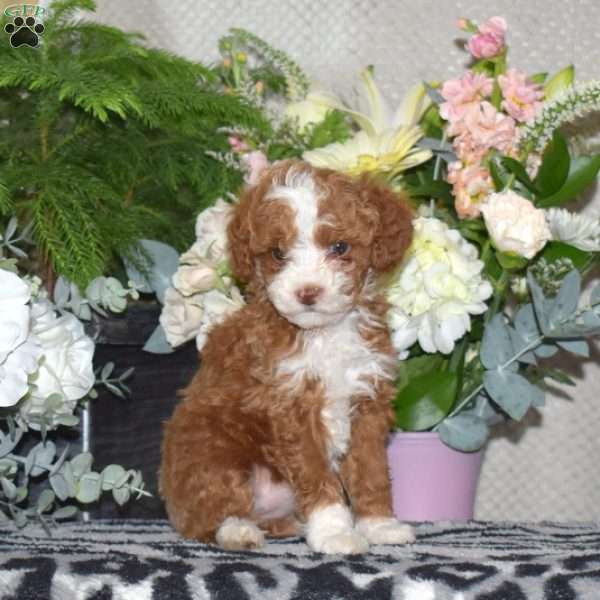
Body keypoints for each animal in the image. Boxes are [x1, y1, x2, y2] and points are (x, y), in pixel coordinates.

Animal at [157, 159, 414, 552]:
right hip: (208, 448)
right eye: (278, 253)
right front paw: (335, 532)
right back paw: (238, 530)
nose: (307, 292)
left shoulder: (367, 401)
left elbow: (371, 470)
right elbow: (317, 476)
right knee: (210, 510)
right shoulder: (292, 407)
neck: (323, 333)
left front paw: (379, 524)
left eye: (340, 247)